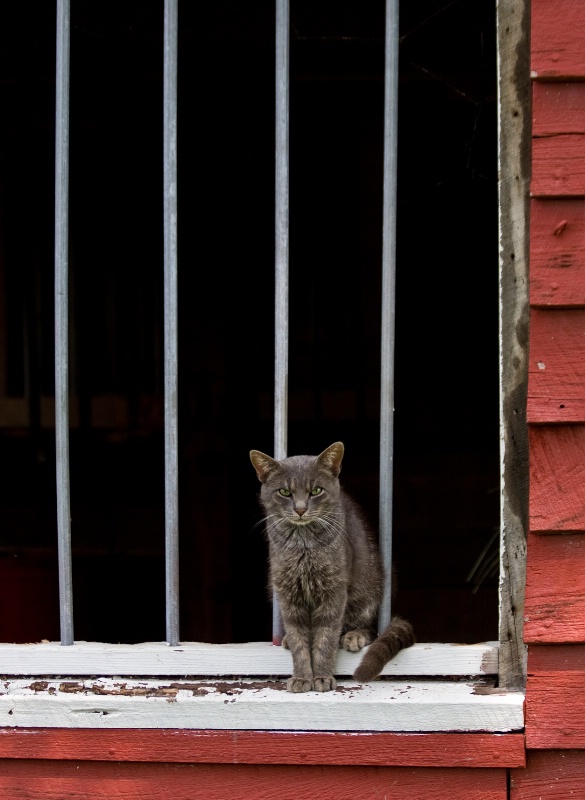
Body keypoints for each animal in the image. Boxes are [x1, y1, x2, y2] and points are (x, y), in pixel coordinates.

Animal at [249, 440, 412, 692]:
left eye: (316, 490)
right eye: (285, 492)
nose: (300, 508)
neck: (304, 545)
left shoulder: (334, 591)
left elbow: (326, 638)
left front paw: (322, 677)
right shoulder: (287, 592)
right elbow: (299, 639)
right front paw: (302, 677)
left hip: (373, 586)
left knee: (370, 625)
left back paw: (354, 636)